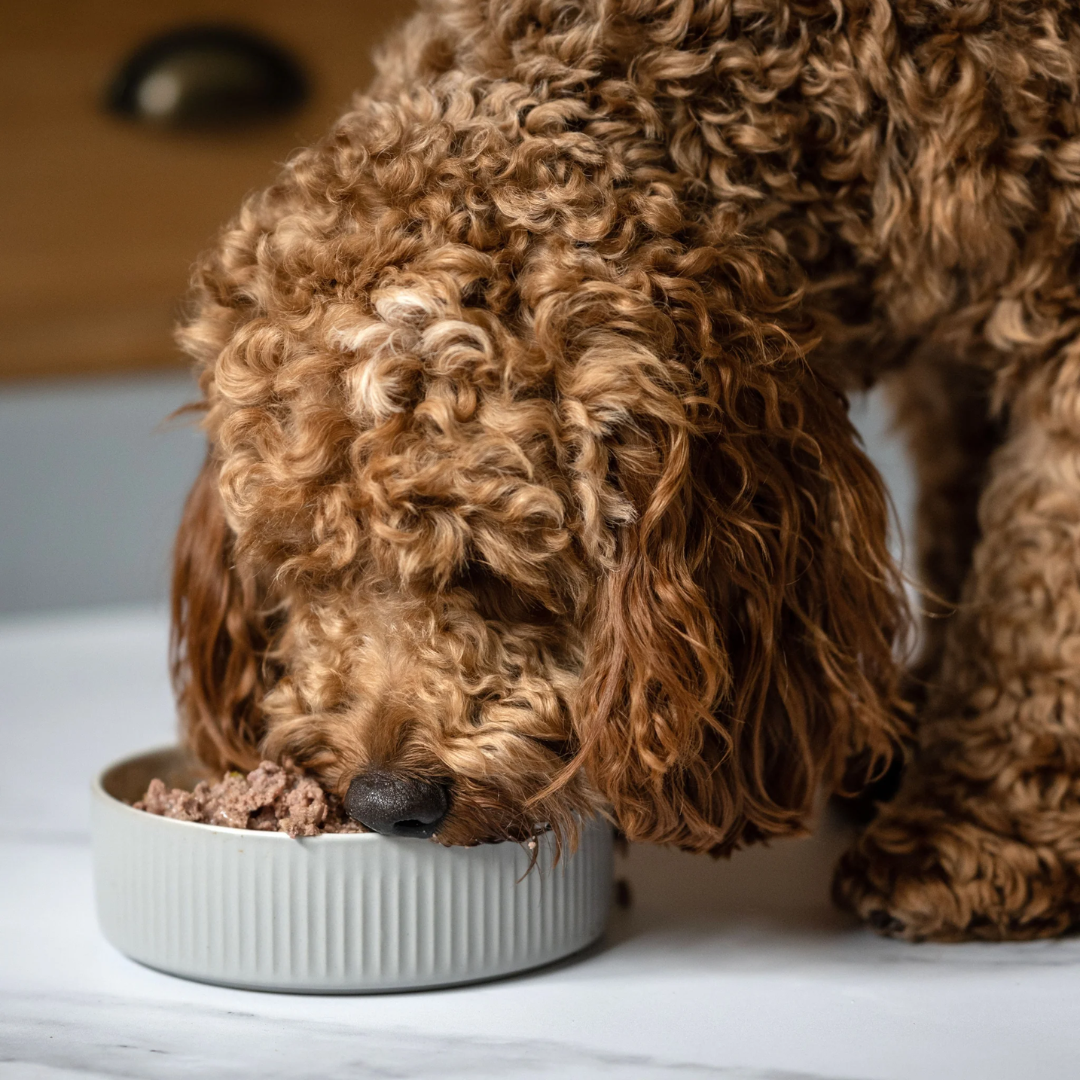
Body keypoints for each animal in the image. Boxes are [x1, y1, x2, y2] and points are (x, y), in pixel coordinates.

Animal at [172, 0, 1080, 946]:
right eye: (301, 573)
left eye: (499, 573)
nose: (387, 801)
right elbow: (959, 513)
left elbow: (1038, 604)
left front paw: (975, 835)